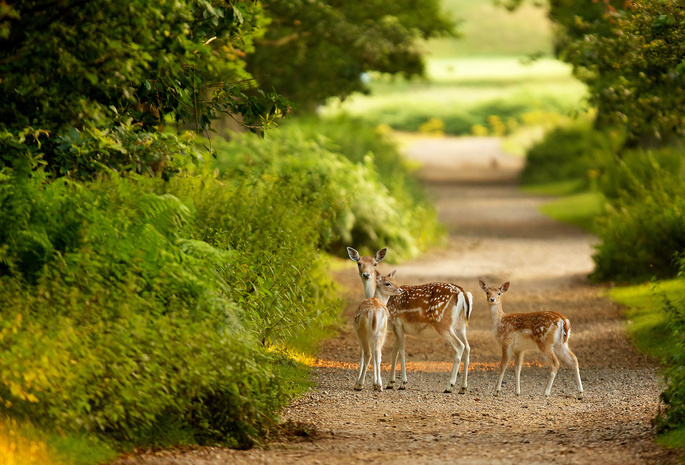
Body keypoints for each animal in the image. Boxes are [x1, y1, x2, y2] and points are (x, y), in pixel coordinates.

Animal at [344, 246, 472, 392]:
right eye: (359, 263)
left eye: (375, 264)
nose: (366, 275)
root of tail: (463, 293)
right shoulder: (397, 328)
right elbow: (394, 352)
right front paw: (390, 382)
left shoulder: (397, 323)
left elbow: (401, 351)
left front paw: (402, 383)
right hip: (460, 325)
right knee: (468, 347)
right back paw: (463, 388)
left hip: (442, 323)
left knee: (459, 346)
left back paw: (449, 385)